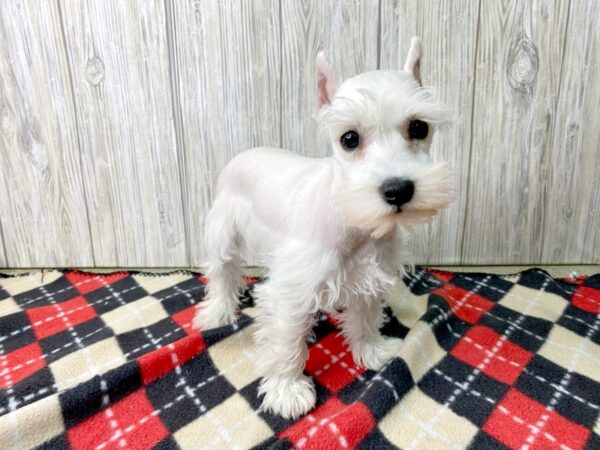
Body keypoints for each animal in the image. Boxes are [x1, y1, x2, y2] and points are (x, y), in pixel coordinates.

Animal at [195, 37, 452, 418]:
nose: (397, 190)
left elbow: (365, 316)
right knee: (222, 274)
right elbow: (286, 341)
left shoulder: (368, 276)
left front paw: (371, 350)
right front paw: (287, 390)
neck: (354, 222)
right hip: (222, 234)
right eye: (349, 138)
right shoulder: (290, 287)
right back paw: (217, 311)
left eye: (419, 127)